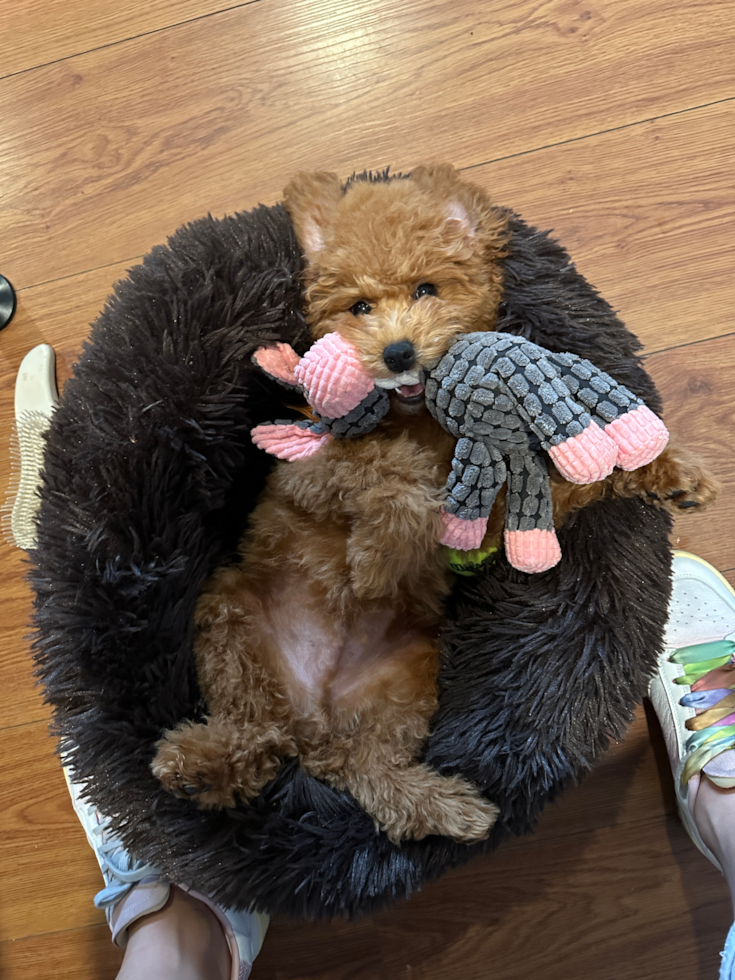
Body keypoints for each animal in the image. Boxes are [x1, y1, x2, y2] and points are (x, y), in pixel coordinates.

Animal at [151, 163, 720, 844]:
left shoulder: (498, 516)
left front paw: (672, 471)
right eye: (360, 307)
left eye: (427, 289)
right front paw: (376, 557)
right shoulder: (307, 469)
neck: (417, 418)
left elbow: (567, 481)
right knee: (257, 728)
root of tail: (312, 717)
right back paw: (199, 763)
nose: (397, 353)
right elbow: (393, 469)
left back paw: (449, 807)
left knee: (360, 767)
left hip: (405, 678)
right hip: (233, 619)